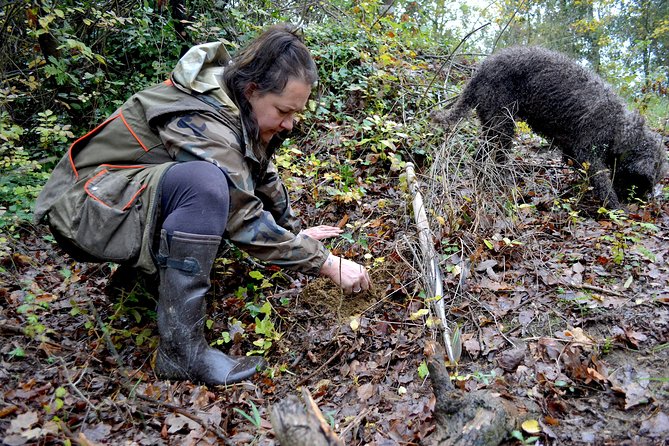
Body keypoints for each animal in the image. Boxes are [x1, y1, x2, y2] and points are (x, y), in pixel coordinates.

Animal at [430, 45, 664, 209]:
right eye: (643, 182)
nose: (642, 203)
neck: (619, 126)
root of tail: (480, 71)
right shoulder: (589, 152)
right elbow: (602, 182)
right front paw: (616, 208)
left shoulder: (573, 152)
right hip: (502, 124)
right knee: (492, 156)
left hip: (492, 123)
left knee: (480, 157)